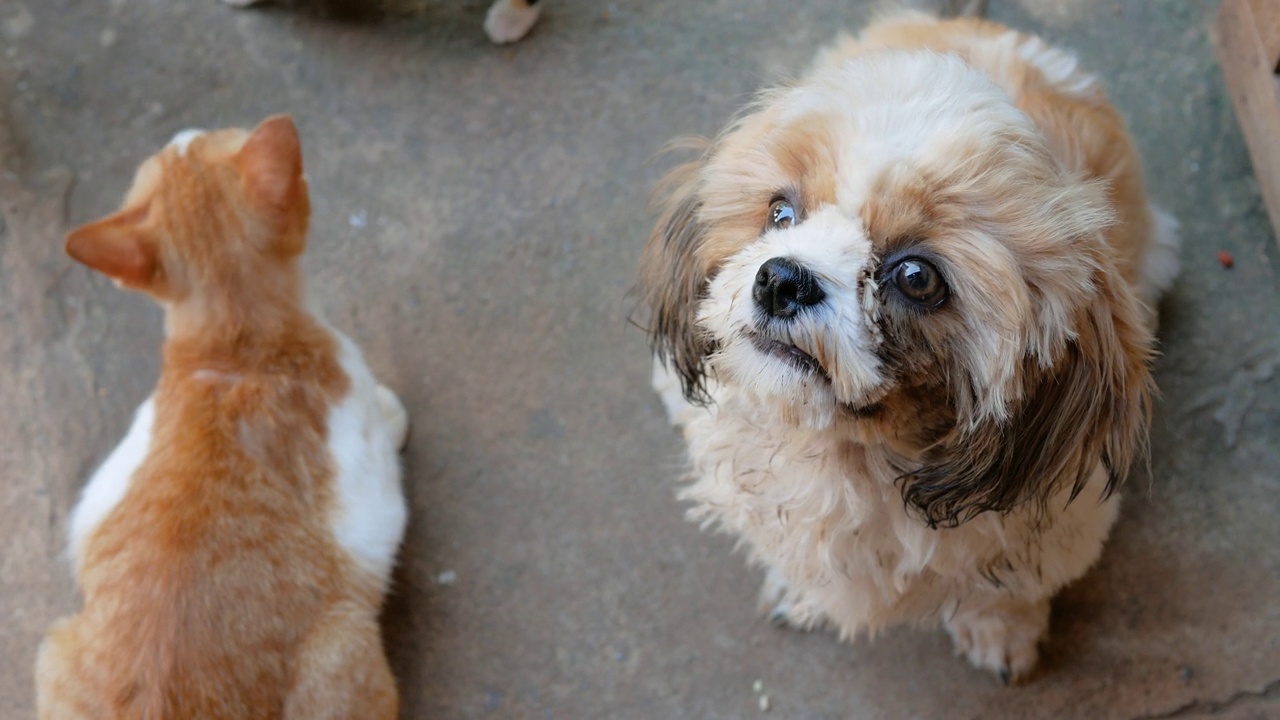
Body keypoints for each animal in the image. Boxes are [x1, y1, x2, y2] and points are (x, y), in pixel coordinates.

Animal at [36, 114, 404, 712]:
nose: (182, 130)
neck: (236, 347)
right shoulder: (369, 488)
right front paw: (396, 413)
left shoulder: (102, 491)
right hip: (344, 644)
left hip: (53, 646)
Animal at [640, 12, 1177, 681]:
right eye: (781, 213)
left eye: (917, 277)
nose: (782, 279)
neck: (849, 457)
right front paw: (801, 590)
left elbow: (1004, 591)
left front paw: (1001, 631)